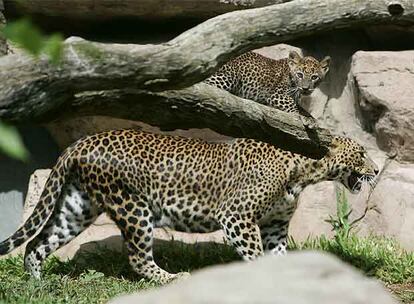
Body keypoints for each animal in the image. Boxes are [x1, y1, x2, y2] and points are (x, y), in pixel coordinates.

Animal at [0, 129, 376, 284]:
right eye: (360, 153)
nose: (375, 171)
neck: (304, 170)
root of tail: (82, 142)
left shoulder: (274, 225)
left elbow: (278, 257)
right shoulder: (236, 217)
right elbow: (255, 256)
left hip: (78, 207)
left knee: (36, 244)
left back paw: (37, 285)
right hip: (134, 207)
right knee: (138, 257)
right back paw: (170, 279)